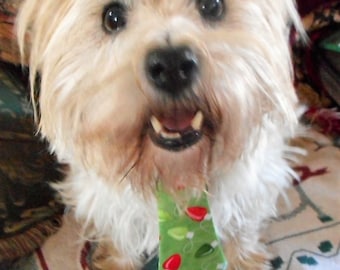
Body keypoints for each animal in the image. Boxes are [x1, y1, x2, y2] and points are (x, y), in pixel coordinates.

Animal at [15, 1, 304, 268]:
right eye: (112, 17)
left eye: (213, 6)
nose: (172, 65)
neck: (176, 176)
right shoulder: (109, 205)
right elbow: (119, 240)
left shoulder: (253, 185)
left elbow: (241, 230)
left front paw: (244, 260)